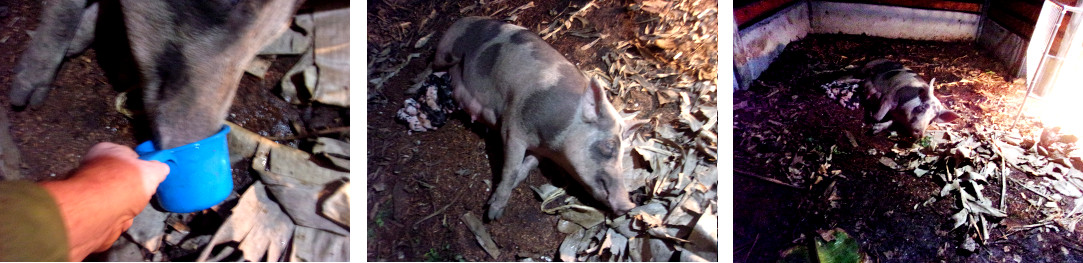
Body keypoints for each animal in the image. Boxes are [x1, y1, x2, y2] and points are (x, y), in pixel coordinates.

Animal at [431, 16, 636, 219]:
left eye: (624, 152)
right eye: (609, 146)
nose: (629, 205)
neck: (554, 146)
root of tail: (460, 20)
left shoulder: (541, 151)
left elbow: (525, 168)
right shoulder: (512, 128)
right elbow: (511, 169)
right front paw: (493, 214)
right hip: (446, 51)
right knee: (431, 68)